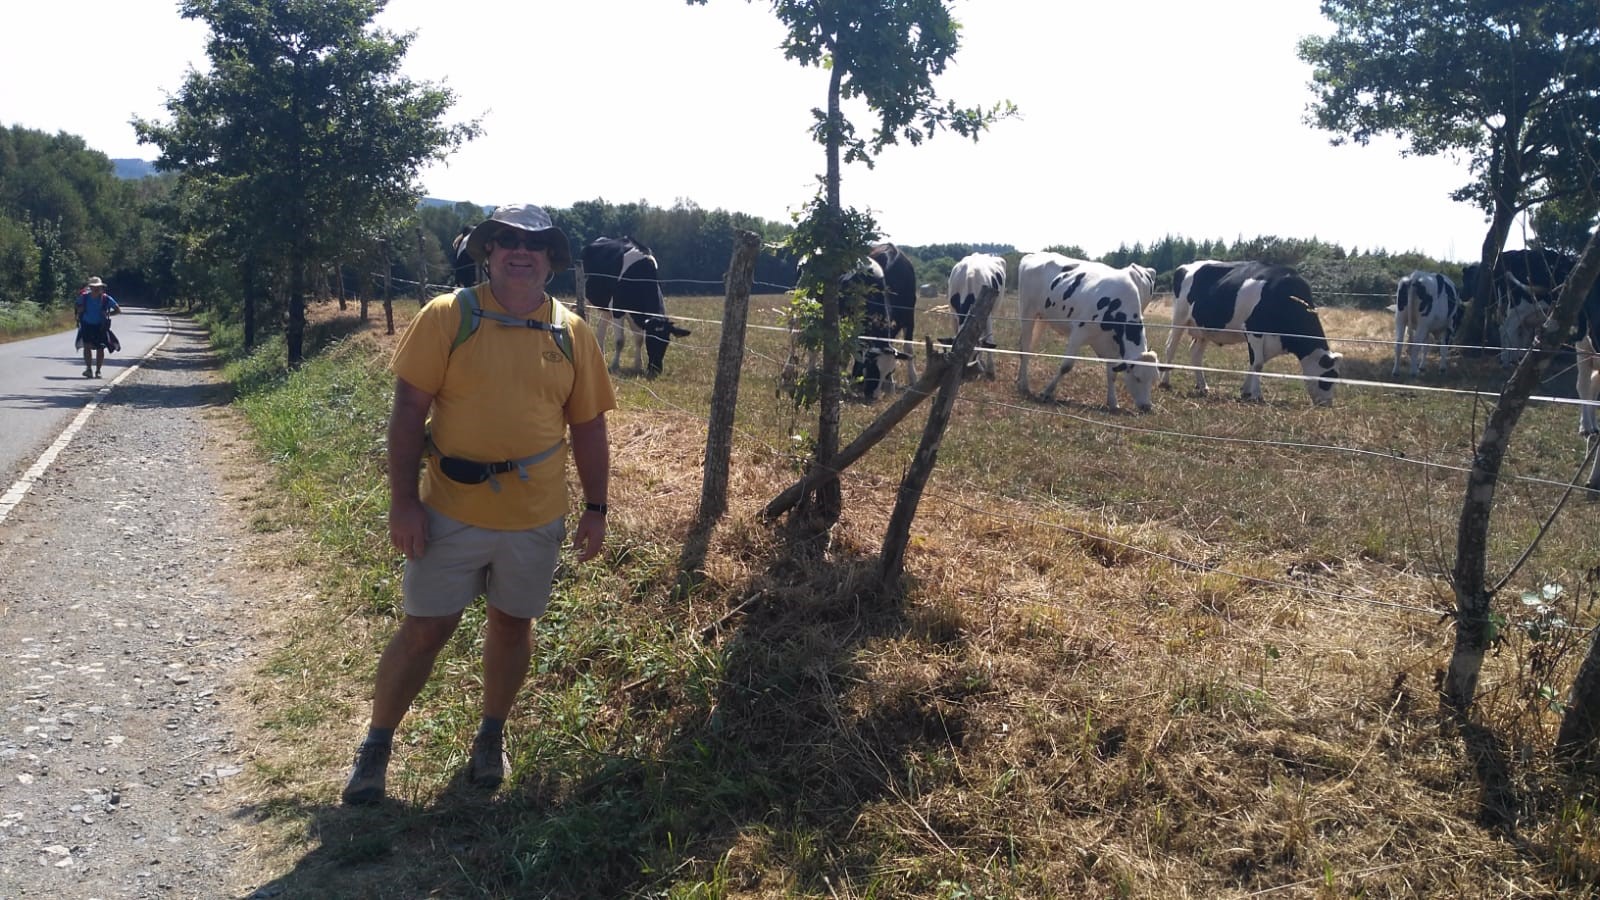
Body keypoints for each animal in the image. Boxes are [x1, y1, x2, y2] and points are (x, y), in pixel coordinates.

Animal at [580, 236, 691, 377]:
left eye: (666, 341)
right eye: (650, 339)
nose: (656, 369)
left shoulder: (635, 315)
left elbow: (638, 339)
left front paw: (638, 365)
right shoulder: (618, 309)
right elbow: (620, 341)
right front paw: (615, 365)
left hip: (606, 307)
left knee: (601, 328)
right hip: (586, 298)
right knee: (587, 321)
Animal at [1015, 254, 1159, 412]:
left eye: (1153, 379)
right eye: (1137, 377)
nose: (1146, 406)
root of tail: (1034, 255)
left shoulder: (1112, 345)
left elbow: (1112, 373)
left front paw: (1113, 402)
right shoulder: (1078, 333)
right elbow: (1066, 366)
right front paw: (1046, 392)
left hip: (1042, 318)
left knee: (1029, 346)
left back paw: (1019, 379)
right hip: (1027, 312)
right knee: (1025, 346)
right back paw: (1024, 385)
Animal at [1160, 260, 1341, 405]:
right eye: (1327, 378)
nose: (1327, 404)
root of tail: (1185, 266)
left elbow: (1255, 363)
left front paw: (1246, 391)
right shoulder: (1254, 330)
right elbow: (1258, 363)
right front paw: (1256, 395)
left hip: (1204, 329)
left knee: (1195, 353)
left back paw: (1202, 386)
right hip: (1179, 318)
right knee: (1170, 347)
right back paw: (1165, 382)